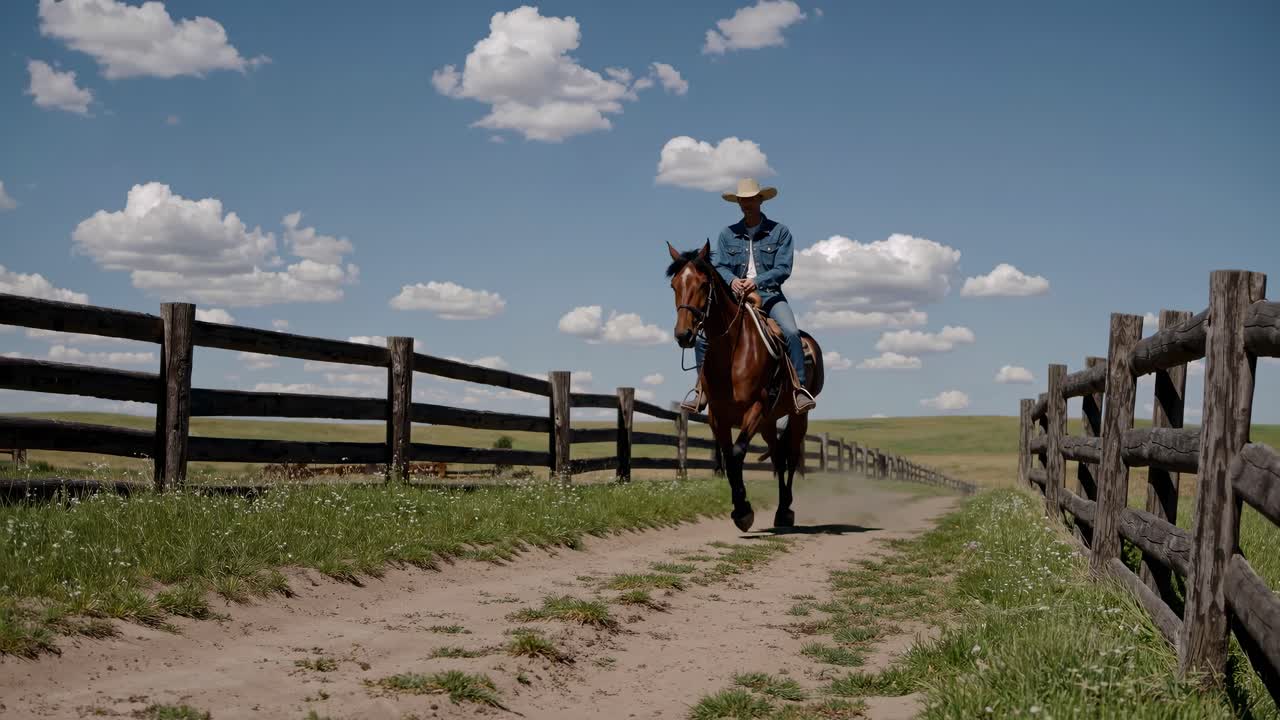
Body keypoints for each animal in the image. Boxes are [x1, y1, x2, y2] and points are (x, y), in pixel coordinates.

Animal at [666, 241, 825, 531]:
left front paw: (743, 512)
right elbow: (729, 458)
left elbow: (738, 453)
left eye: (703, 284)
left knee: (791, 456)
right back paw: (781, 511)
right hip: (769, 422)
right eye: (674, 285)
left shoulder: (756, 407)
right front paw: (740, 508)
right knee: (778, 458)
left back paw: (786, 511)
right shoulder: (718, 415)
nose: (684, 334)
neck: (732, 352)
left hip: (797, 416)